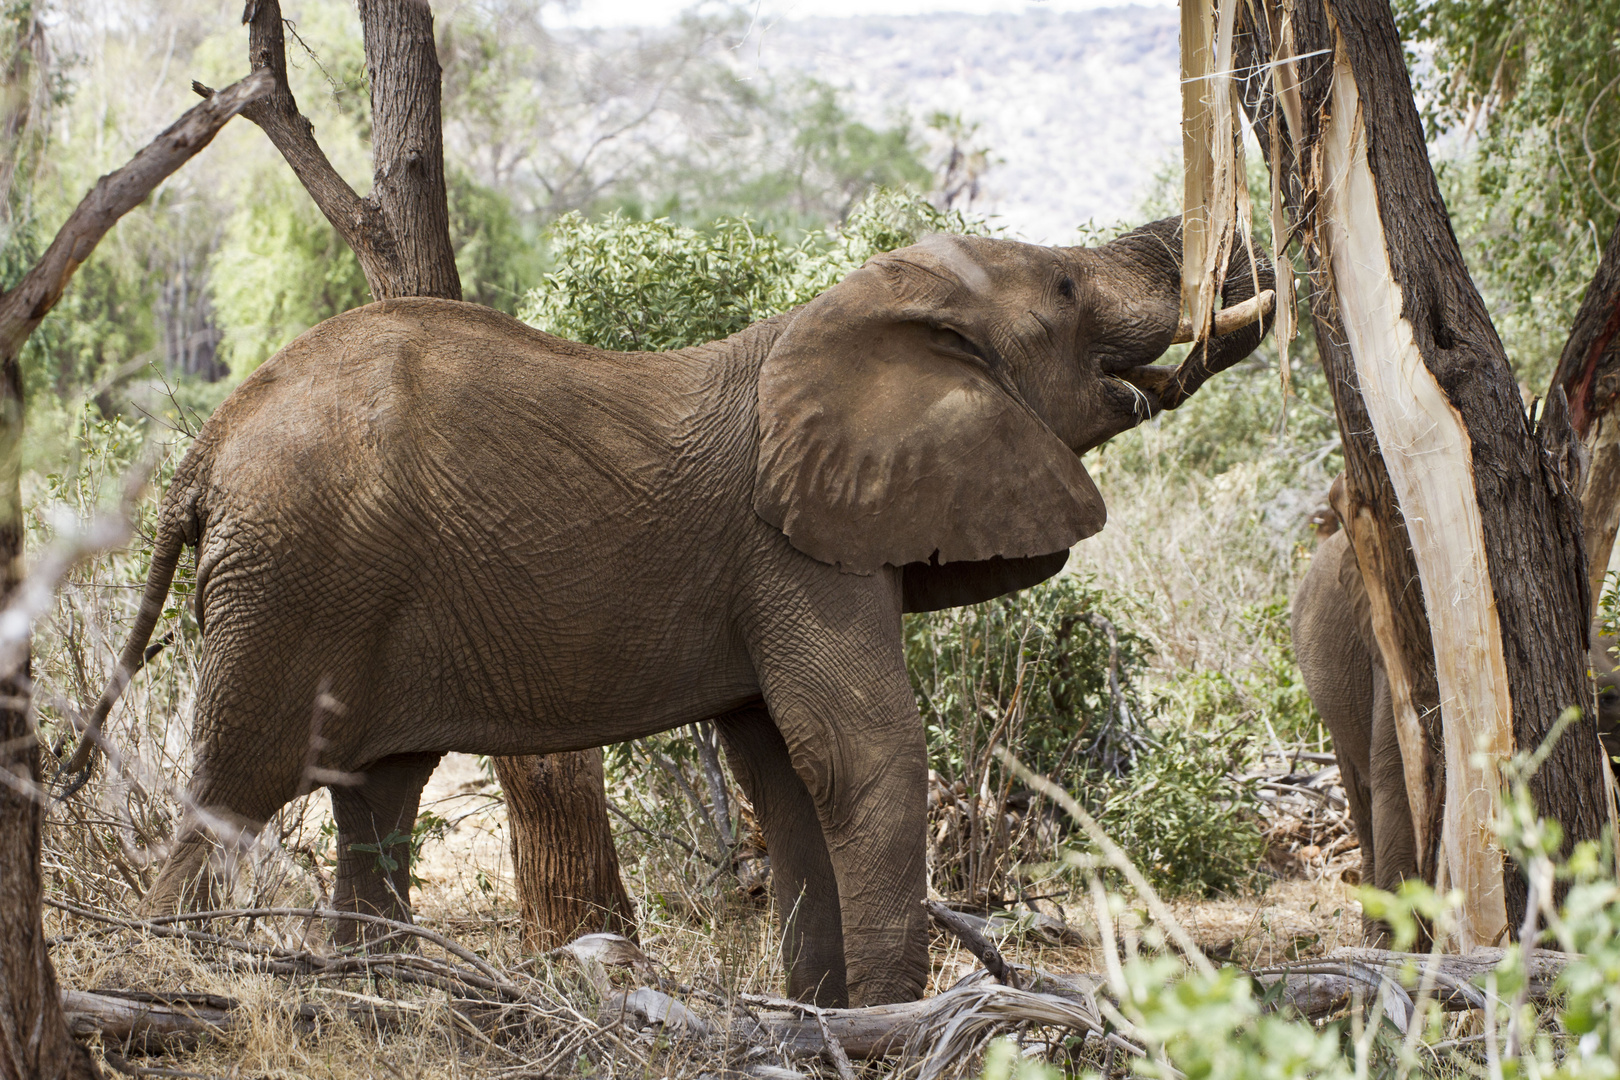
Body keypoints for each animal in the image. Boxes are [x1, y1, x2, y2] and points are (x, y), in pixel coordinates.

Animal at [82, 215, 1270, 1010]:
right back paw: (183, 971)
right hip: (291, 580)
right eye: (1066, 288)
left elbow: (784, 772)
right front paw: (901, 1020)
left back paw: (379, 996)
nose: (1230, 262)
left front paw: (824, 1017)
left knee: (374, 798)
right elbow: (862, 751)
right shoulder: (794, 547)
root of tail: (205, 449)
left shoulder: (777, 564)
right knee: (233, 793)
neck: (835, 318)